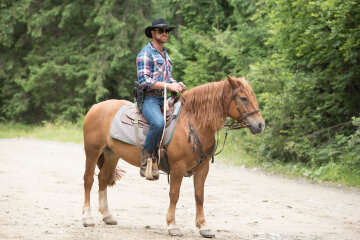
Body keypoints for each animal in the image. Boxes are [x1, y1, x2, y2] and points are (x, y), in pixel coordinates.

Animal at [83, 76, 266, 237]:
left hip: (111, 154)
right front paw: (172, 226)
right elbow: (174, 194)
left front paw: (203, 227)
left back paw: (107, 216)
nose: (260, 125)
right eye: (243, 98)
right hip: (92, 152)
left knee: (103, 179)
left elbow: (199, 196)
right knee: (88, 180)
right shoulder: (178, 167)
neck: (194, 124)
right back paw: (87, 217)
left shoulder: (203, 168)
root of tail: (95, 107)